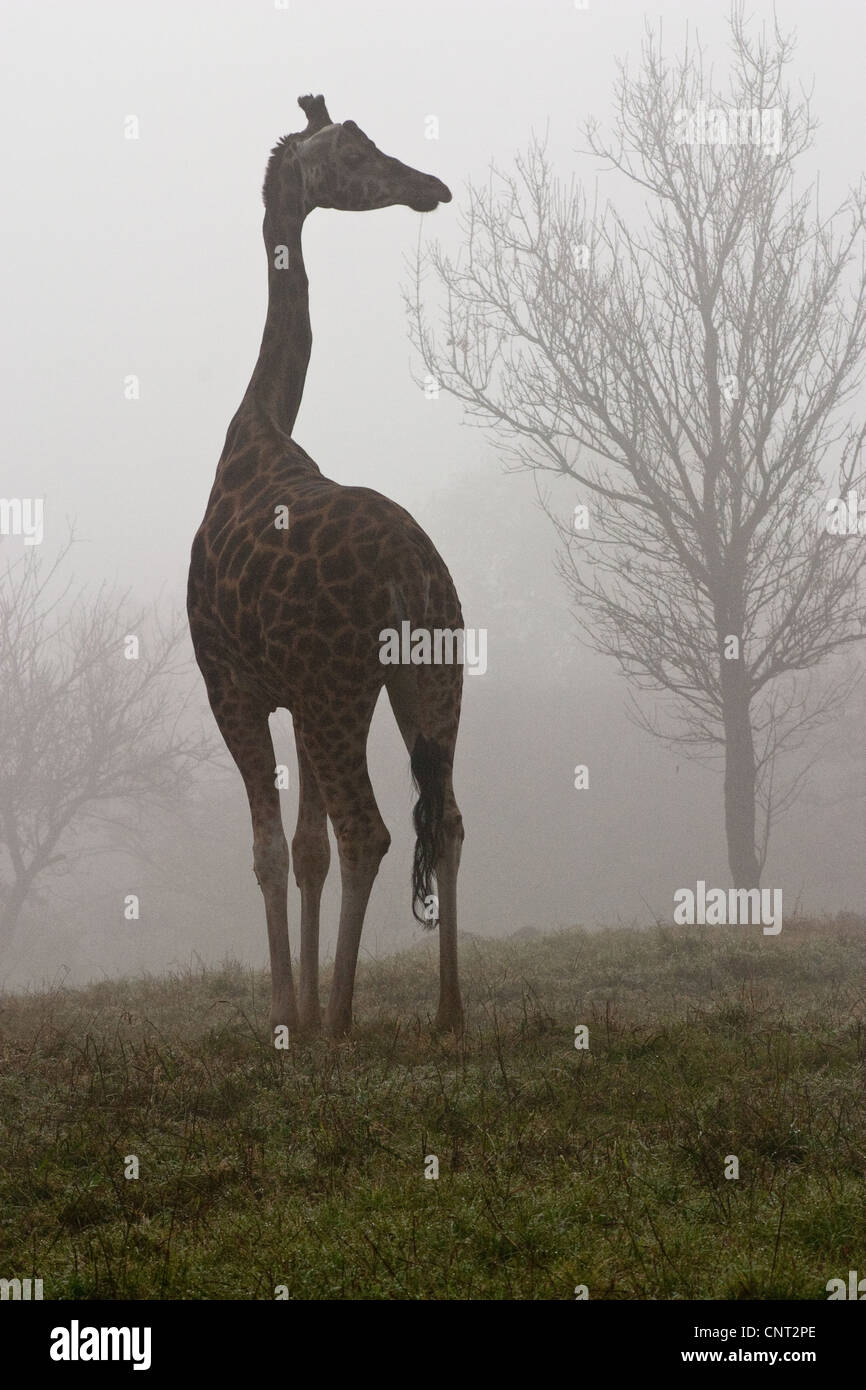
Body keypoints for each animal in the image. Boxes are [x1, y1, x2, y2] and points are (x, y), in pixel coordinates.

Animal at [187, 95, 465, 1040]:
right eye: (354, 147)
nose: (430, 184)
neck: (257, 427)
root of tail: (414, 573)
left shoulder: (233, 685)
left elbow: (272, 849)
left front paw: (289, 1017)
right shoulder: (293, 693)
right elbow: (305, 850)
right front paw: (300, 1012)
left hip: (346, 689)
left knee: (371, 830)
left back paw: (344, 1019)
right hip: (430, 680)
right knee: (446, 820)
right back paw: (448, 1012)